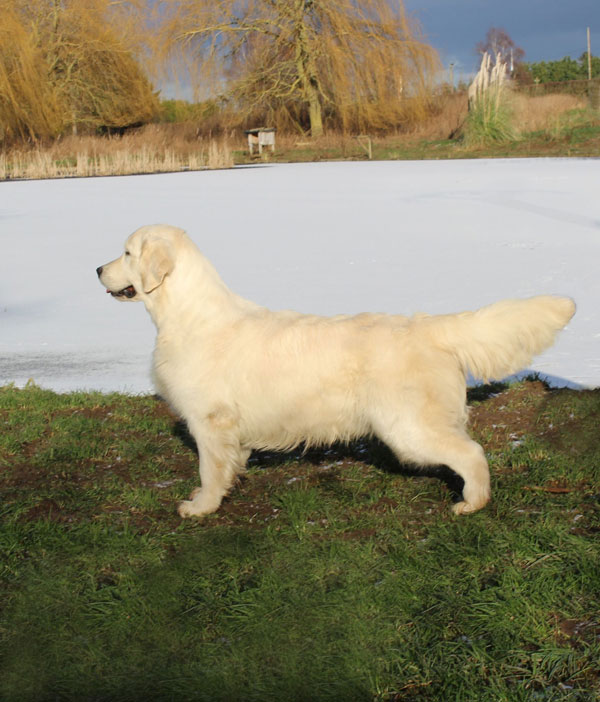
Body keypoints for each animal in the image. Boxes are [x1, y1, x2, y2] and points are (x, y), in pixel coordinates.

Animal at [98, 226, 576, 516]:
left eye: (126, 252)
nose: (98, 269)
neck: (188, 315)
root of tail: (427, 325)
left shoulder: (209, 421)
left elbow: (208, 469)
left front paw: (201, 507)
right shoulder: (228, 429)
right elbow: (229, 465)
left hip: (408, 429)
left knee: (472, 453)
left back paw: (472, 503)